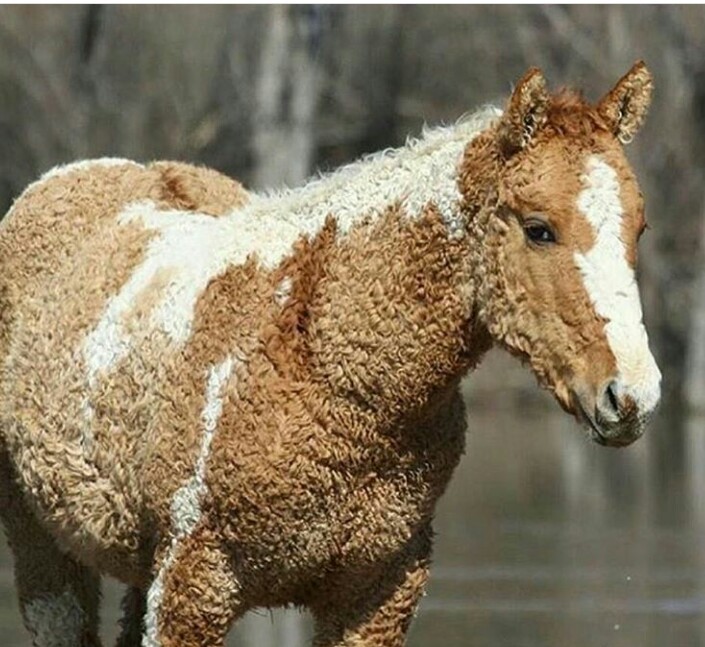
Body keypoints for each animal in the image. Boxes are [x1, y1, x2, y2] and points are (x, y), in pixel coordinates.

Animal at [0, 62, 660, 647]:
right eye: (539, 228)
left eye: (639, 229)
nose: (632, 395)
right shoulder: (193, 584)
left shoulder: (377, 592)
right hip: (45, 549)